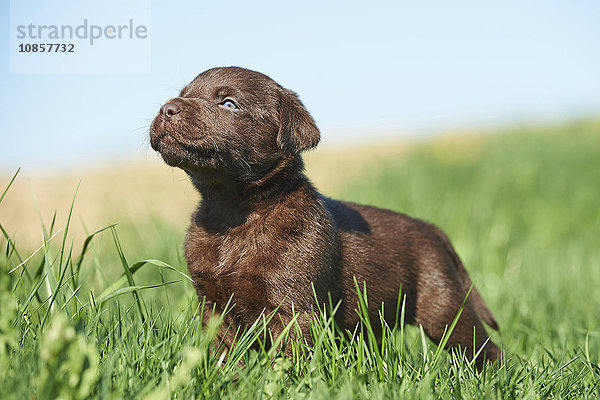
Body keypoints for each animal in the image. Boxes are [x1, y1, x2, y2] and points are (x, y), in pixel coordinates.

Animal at [150, 66, 502, 368]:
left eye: (228, 103)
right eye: (182, 94)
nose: (167, 108)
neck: (235, 212)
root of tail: (431, 229)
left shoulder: (293, 308)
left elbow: (290, 360)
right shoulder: (212, 304)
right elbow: (221, 353)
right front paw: (227, 379)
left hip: (442, 306)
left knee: (484, 347)